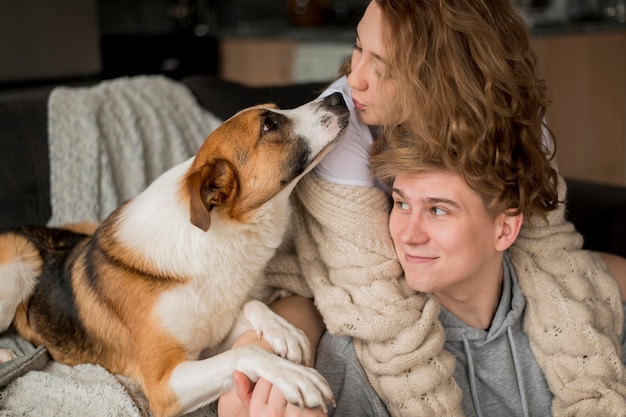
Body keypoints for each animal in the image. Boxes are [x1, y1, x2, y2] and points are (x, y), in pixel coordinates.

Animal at [0, 92, 348, 416]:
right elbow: (246, 353)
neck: (216, 242)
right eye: (269, 125)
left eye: (276, 109)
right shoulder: (164, 384)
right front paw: (294, 376)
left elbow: (252, 306)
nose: (338, 97)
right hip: (18, 265)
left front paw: (283, 330)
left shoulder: (209, 342)